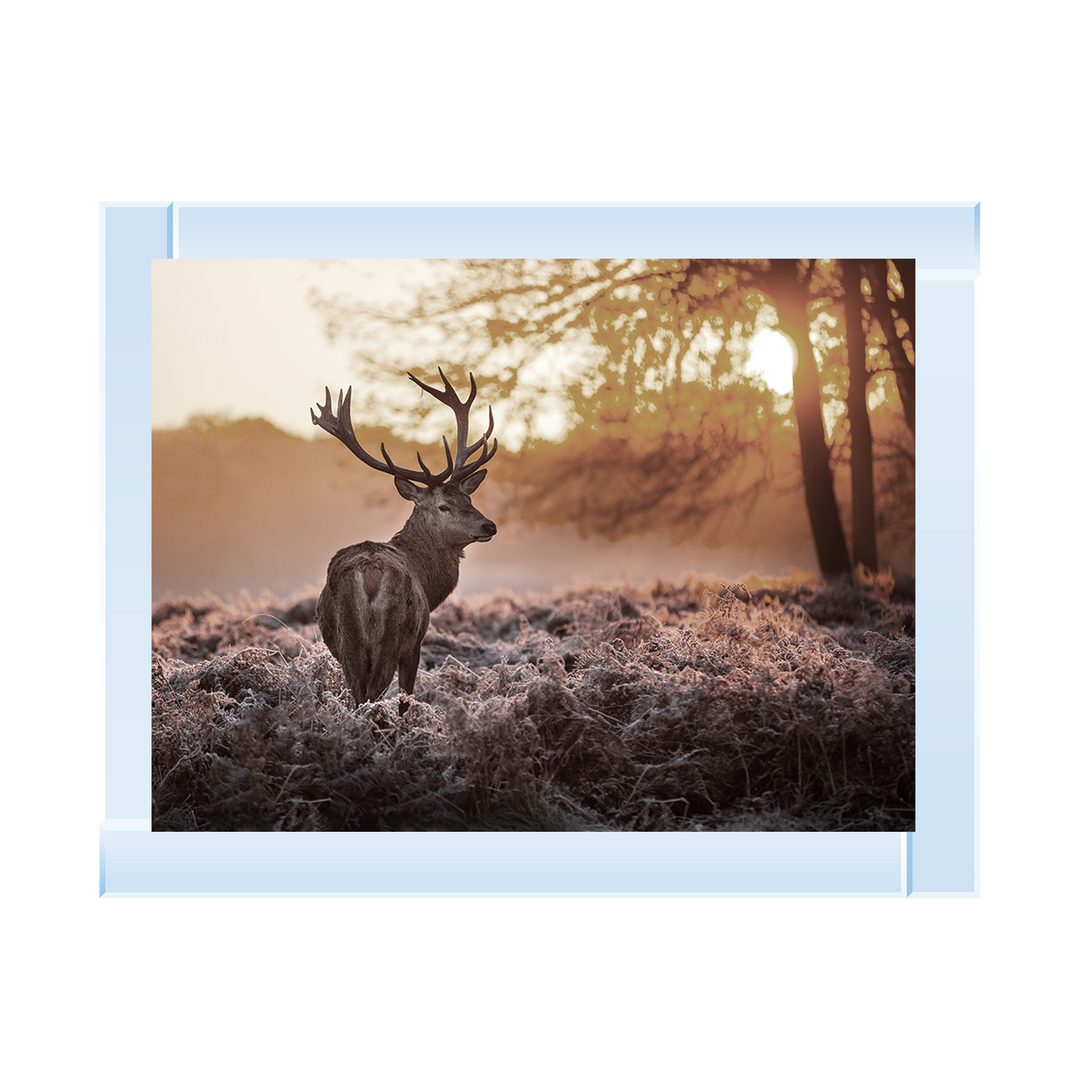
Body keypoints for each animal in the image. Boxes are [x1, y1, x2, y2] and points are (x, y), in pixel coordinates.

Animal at [311, 369, 498, 718]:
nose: (489, 525)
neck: (428, 581)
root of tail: (369, 575)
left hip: (347, 640)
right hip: (392, 635)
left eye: (469, 498)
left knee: (359, 695)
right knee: (373, 695)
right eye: (444, 506)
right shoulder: (416, 643)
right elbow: (405, 699)